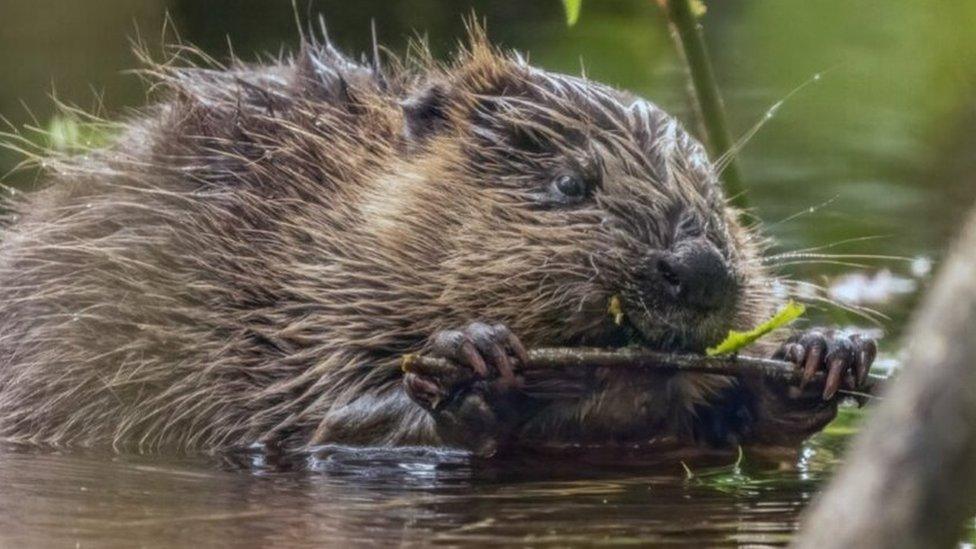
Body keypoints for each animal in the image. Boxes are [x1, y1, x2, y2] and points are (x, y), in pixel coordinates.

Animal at [0, 26, 876, 454]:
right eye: (570, 183)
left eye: (719, 199)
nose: (699, 268)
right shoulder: (263, 300)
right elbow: (317, 421)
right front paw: (471, 360)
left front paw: (822, 356)